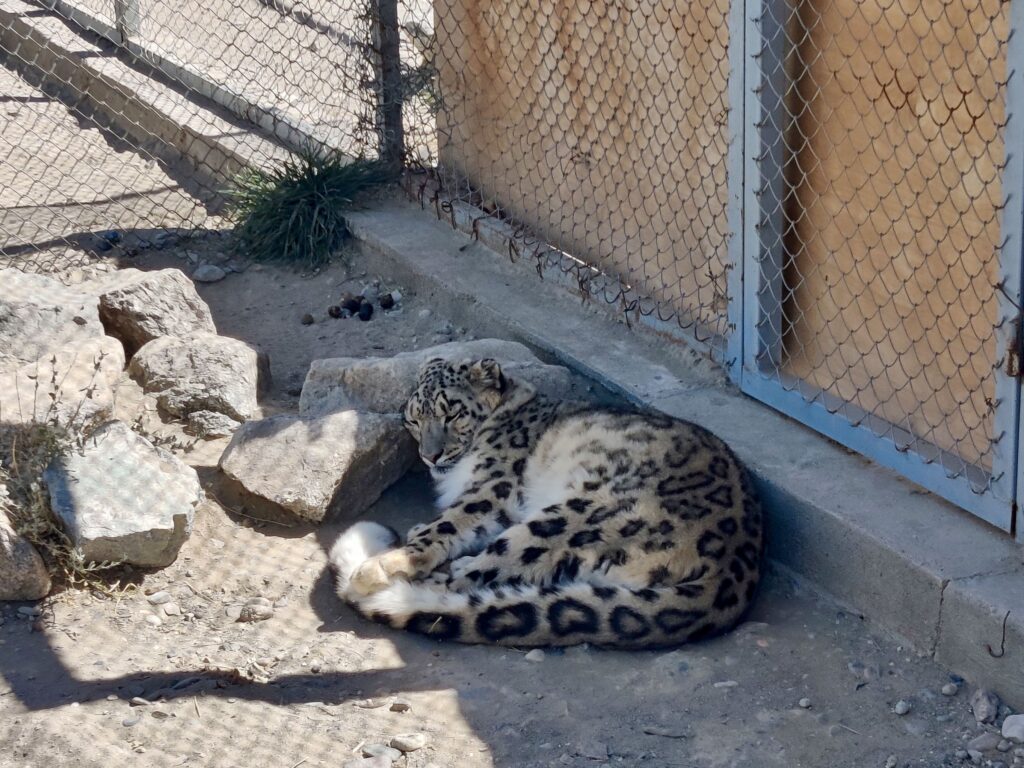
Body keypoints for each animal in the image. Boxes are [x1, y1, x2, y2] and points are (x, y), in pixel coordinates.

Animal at [329, 357, 763, 648]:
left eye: (452, 413)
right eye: (414, 418)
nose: (430, 455)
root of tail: (734, 570)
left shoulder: (493, 486)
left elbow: (450, 523)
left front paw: (397, 554)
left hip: (577, 514)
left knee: (476, 575)